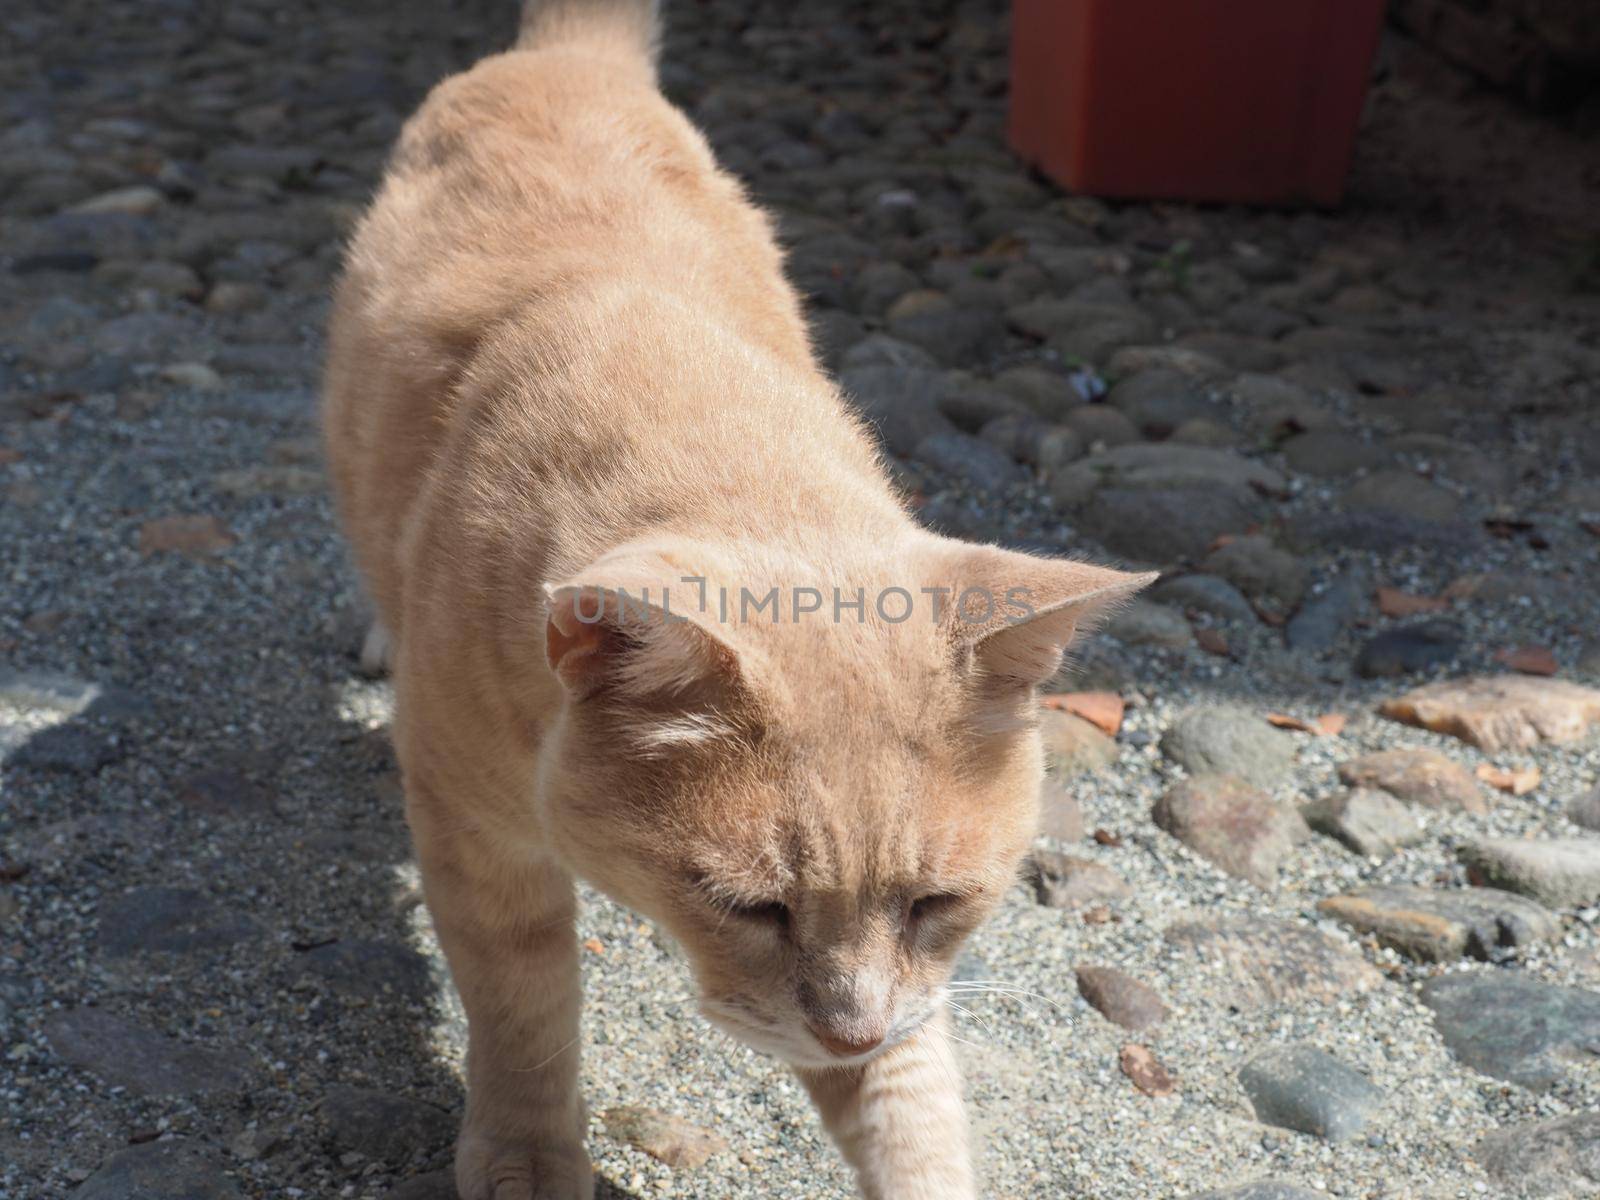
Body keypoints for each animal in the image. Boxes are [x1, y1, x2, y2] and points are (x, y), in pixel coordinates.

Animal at [324, 4, 1152, 1196]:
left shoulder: (904, 1008)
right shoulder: (474, 834)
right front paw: (529, 1155)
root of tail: (568, 55)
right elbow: (525, 1008)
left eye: (935, 905)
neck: (701, 428)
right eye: (749, 907)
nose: (849, 1030)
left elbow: (911, 1108)